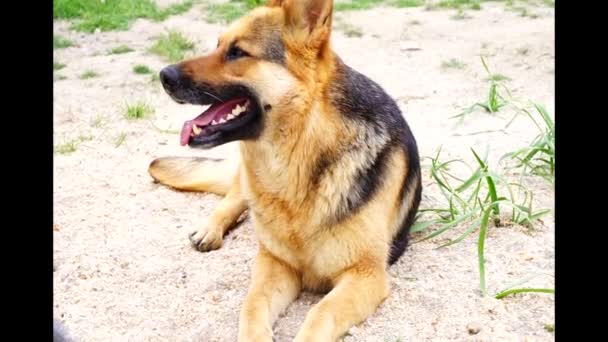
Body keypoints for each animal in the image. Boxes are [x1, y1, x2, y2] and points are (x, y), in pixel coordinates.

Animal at [150, 0, 420, 340]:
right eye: (218, 45)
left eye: (237, 52)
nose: (164, 75)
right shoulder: (276, 265)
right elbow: (252, 305)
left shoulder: (365, 275)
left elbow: (321, 313)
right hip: (246, 186)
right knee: (233, 198)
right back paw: (209, 228)